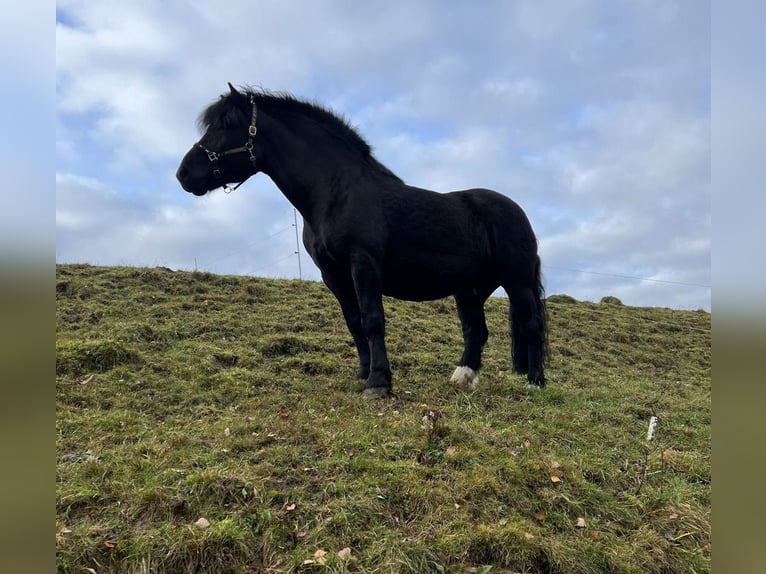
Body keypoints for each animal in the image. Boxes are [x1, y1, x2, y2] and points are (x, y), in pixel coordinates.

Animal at [177, 84, 548, 398]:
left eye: (227, 124)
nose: (184, 174)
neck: (336, 192)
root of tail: (516, 212)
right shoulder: (333, 275)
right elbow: (354, 324)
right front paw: (364, 373)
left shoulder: (363, 263)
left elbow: (372, 320)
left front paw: (378, 383)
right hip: (469, 289)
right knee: (476, 331)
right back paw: (463, 378)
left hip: (517, 282)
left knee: (530, 325)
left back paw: (535, 382)